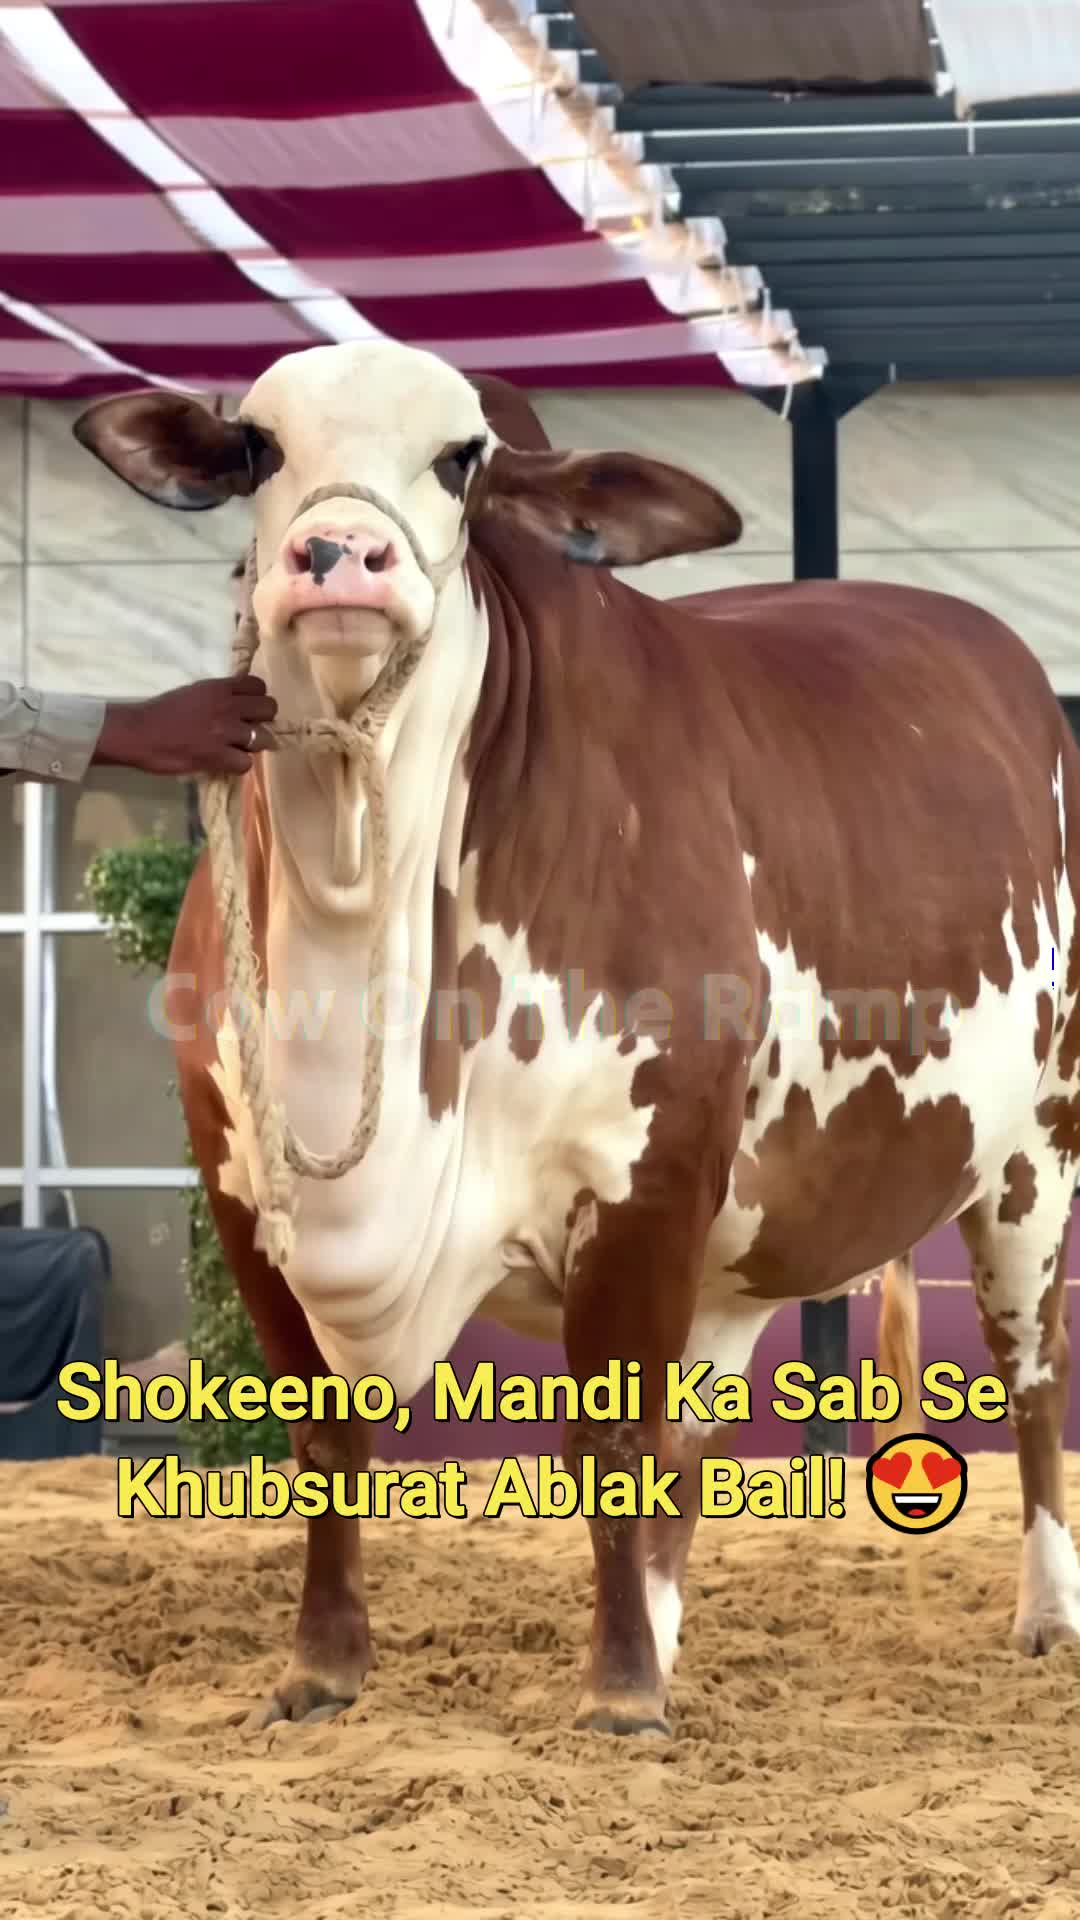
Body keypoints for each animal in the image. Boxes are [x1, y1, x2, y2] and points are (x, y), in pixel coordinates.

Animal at [73, 344, 1080, 1736]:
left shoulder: (643, 1178)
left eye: (464, 459)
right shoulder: (240, 1187)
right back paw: (663, 1622)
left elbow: (608, 1438)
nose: (337, 556)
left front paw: (618, 1694)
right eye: (261, 447)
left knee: (1029, 1371)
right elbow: (324, 1435)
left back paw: (1045, 1611)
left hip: (1035, 1149)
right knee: (701, 1431)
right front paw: (321, 1670)